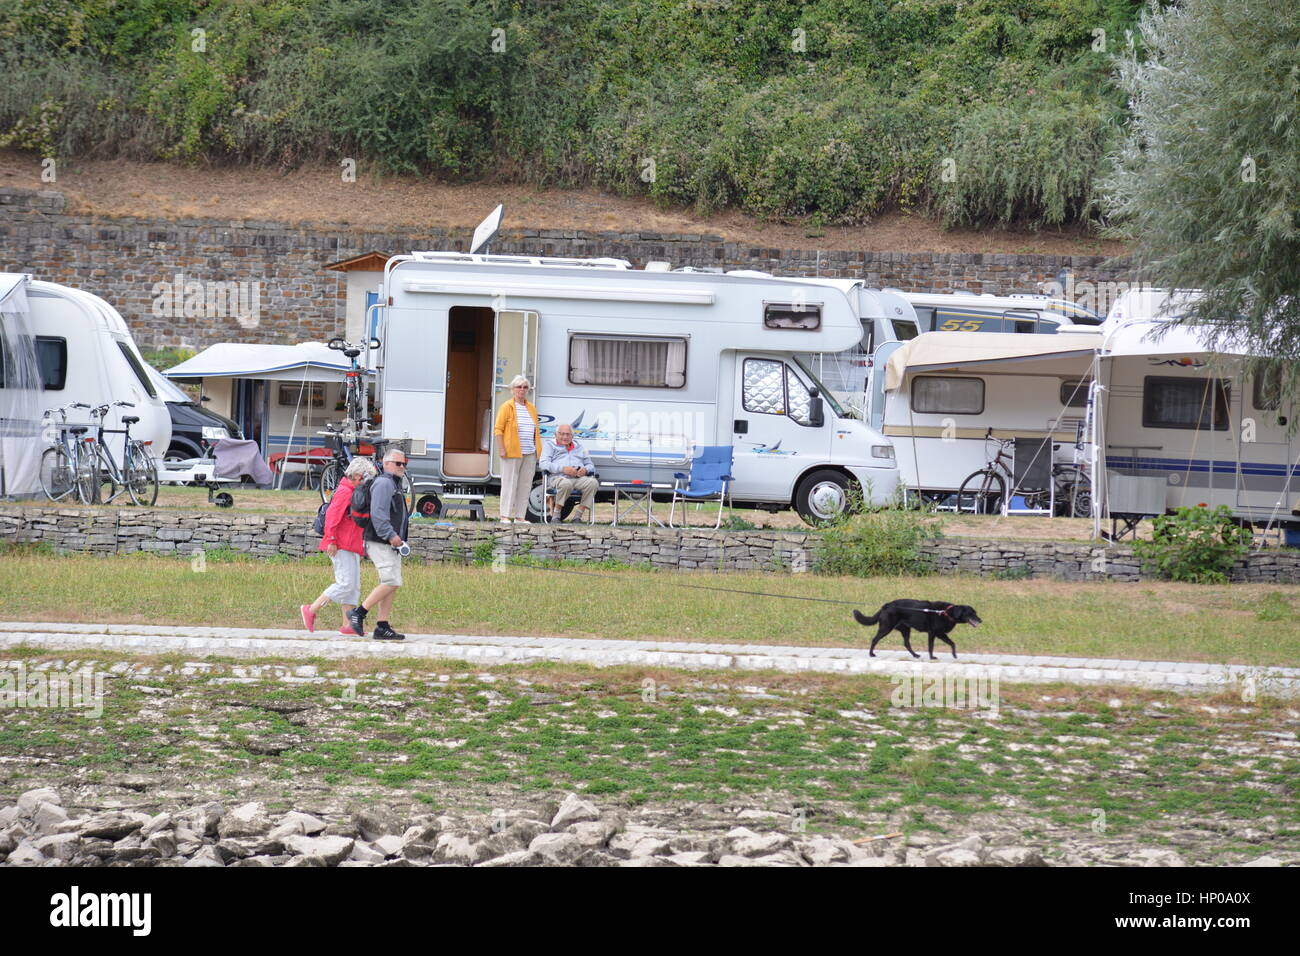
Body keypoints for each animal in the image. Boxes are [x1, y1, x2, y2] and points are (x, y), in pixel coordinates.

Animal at [847, 600, 977, 660]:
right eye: (971, 613)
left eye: (975, 613)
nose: (980, 620)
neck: (946, 612)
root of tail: (886, 606)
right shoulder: (933, 633)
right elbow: (931, 646)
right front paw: (932, 657)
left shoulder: (940, 634)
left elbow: (952, 643)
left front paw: (954, 655)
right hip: (886, 628)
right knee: (874, 639)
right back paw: (871, 654)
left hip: (905, 630)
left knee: (906, 643)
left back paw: (915, 655)